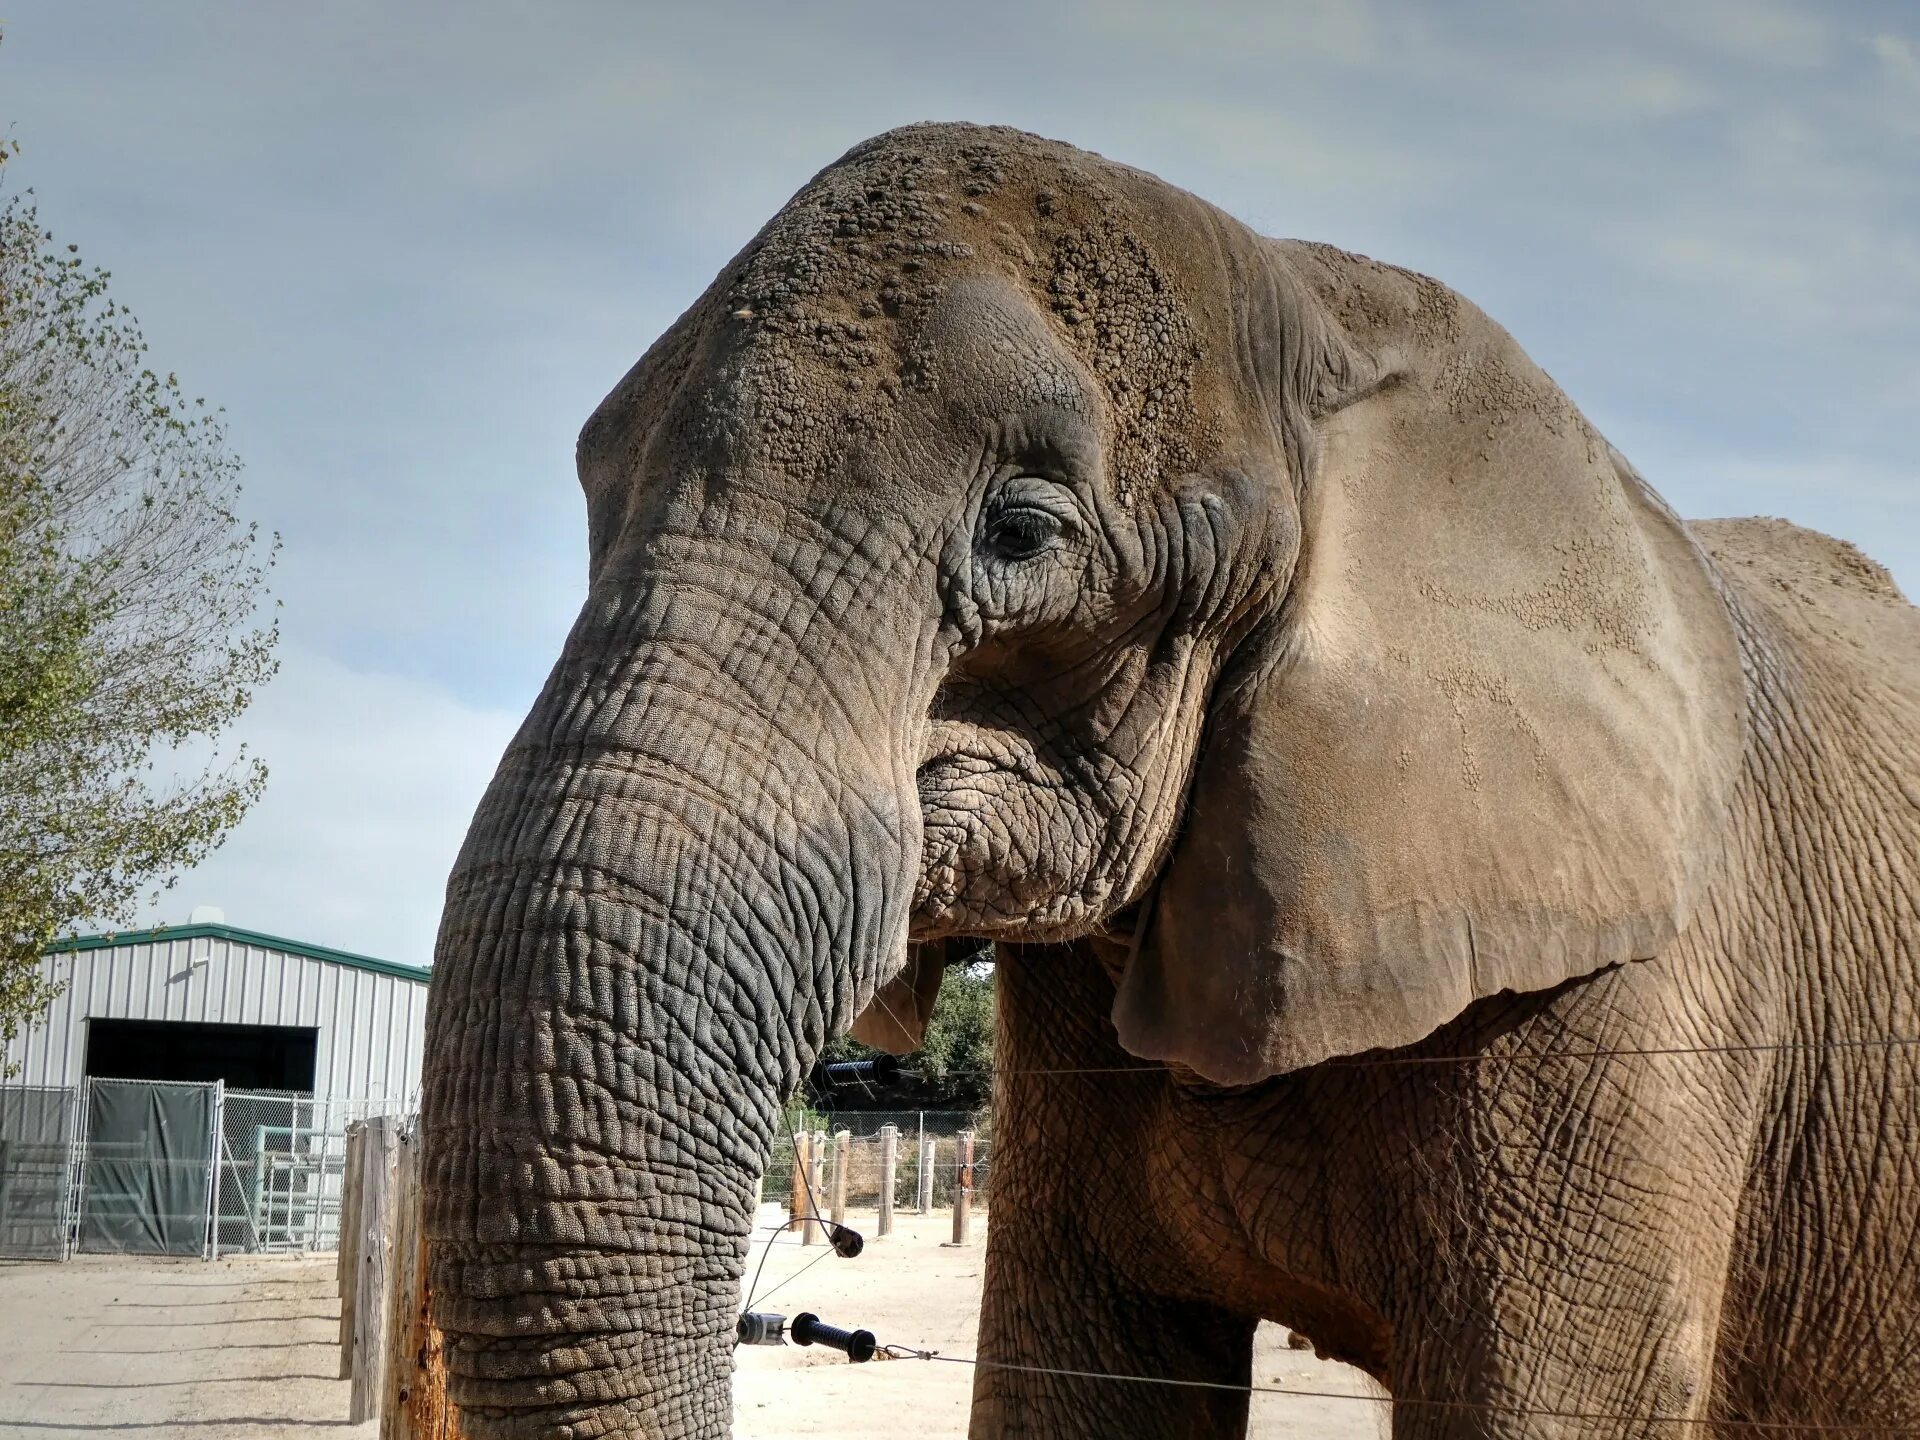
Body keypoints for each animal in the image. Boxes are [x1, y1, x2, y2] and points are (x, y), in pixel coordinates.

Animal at [420, 126, 1920, 1440]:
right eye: (594, 493)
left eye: (1022, 534)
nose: (813, 1319)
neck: (1317, 317)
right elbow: (1080, 1386)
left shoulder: (1630, 986)